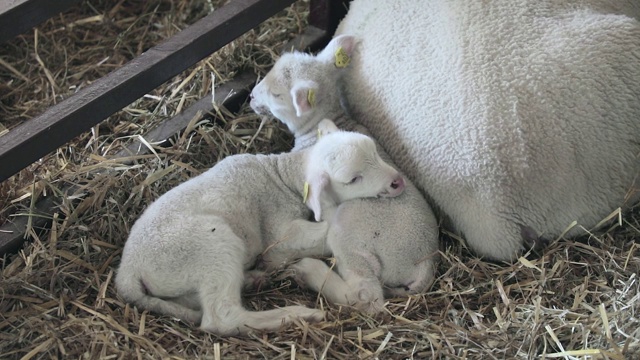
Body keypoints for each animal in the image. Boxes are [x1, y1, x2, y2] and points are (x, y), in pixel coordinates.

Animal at [115, 119, 404, 336]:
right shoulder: (279, 235)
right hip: (211, 246)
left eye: (375, 152)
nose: (398, 182)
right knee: (221, 318)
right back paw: (298, 314)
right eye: (353, 179)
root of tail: (127, 271)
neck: (283, 175)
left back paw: (254, 280)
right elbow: (319, 230)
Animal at [250, 34, 440, 316]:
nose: (251, 96)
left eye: (277, 94)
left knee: (366, 295)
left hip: (351, 234)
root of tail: (425, 263)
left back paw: (308, 270)